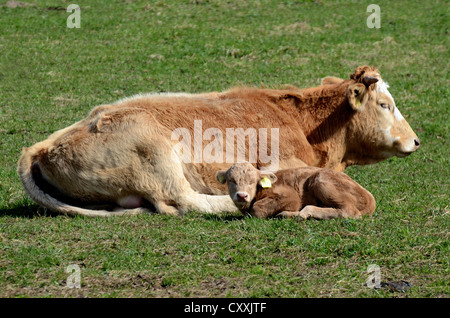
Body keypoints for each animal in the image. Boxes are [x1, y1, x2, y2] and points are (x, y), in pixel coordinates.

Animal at [217, 163, 376, 220]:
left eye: (252, 181)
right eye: (231, 180)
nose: (242, 195)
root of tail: (370, 197)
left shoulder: (291, 196)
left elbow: (257, 209)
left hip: (322, 180)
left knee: (349, 211)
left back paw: (303, 213)